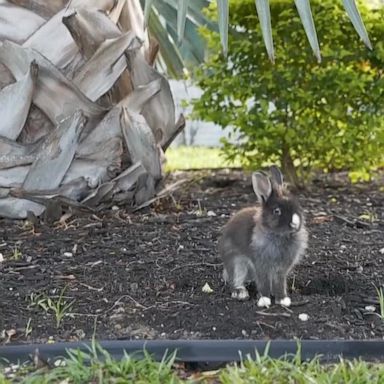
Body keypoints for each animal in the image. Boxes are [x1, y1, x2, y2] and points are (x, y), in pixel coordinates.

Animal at [219, 166, 308, 308]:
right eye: (277, 211)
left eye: (297, 206)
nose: (295, 223)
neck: (279, 235)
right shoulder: (261, 264)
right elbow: (263, 281)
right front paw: (265, 300)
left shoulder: (280, 270)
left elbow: (279, 283)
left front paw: (282, 299)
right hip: (236, 262)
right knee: (235, 279)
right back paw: (240, 293)